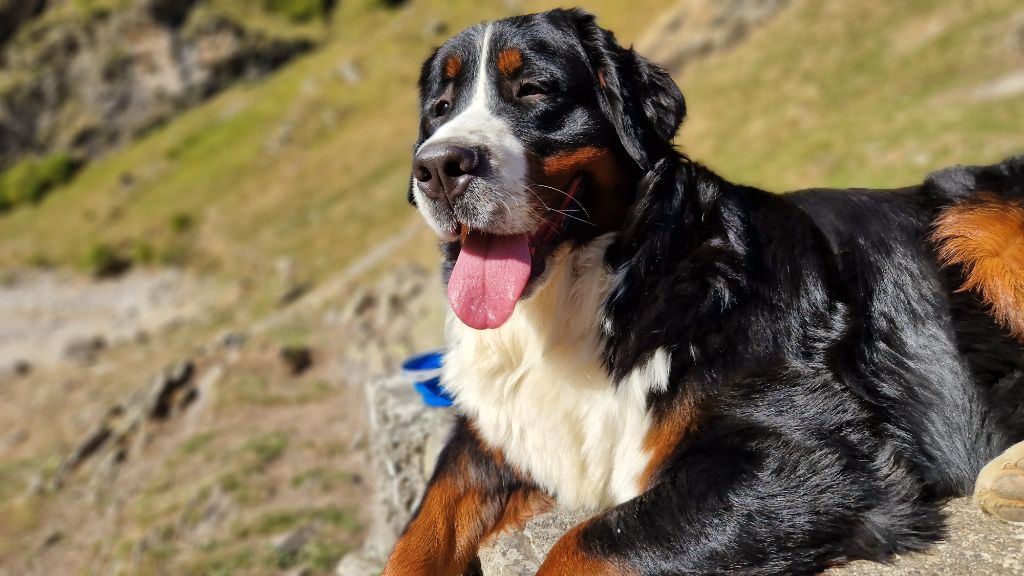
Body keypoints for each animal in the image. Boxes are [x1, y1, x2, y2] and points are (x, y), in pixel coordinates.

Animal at [382, 8, 1024, 573]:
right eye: (439, 109)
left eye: (533, 90)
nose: (437, 167)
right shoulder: (492, 434)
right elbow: (416, 534)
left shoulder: (809, 458)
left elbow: (584, 544)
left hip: (979, 214)